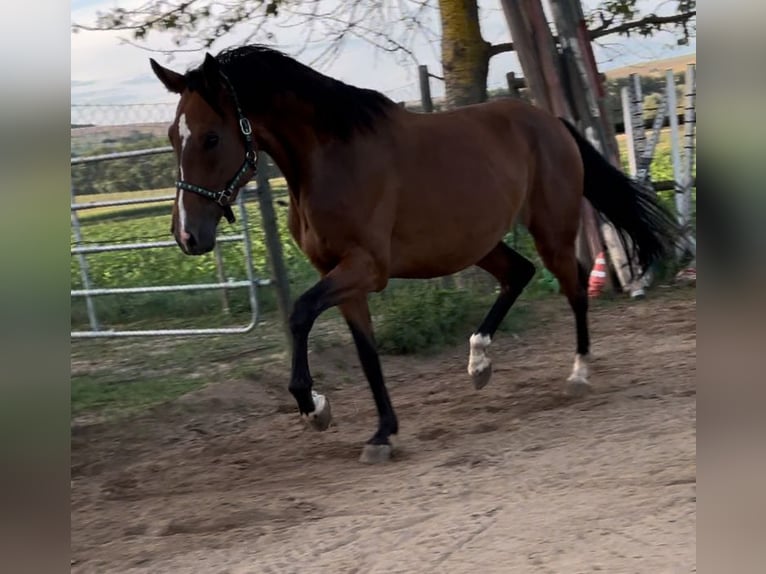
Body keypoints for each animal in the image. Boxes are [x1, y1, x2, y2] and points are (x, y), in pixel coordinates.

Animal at [150, 47, 680, 466]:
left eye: (211, 137)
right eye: (174, 137)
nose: (187, 235)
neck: (329, 160)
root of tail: (550, 122)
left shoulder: (366, 268)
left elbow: (299, 313)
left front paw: (315, 407)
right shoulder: (341, 276)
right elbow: (366, 353)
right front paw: (382, 433)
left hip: (551, 228)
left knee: (573, 284)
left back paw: (578, 374)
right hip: (476, 242)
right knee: (519, 273)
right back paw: (479, 364)